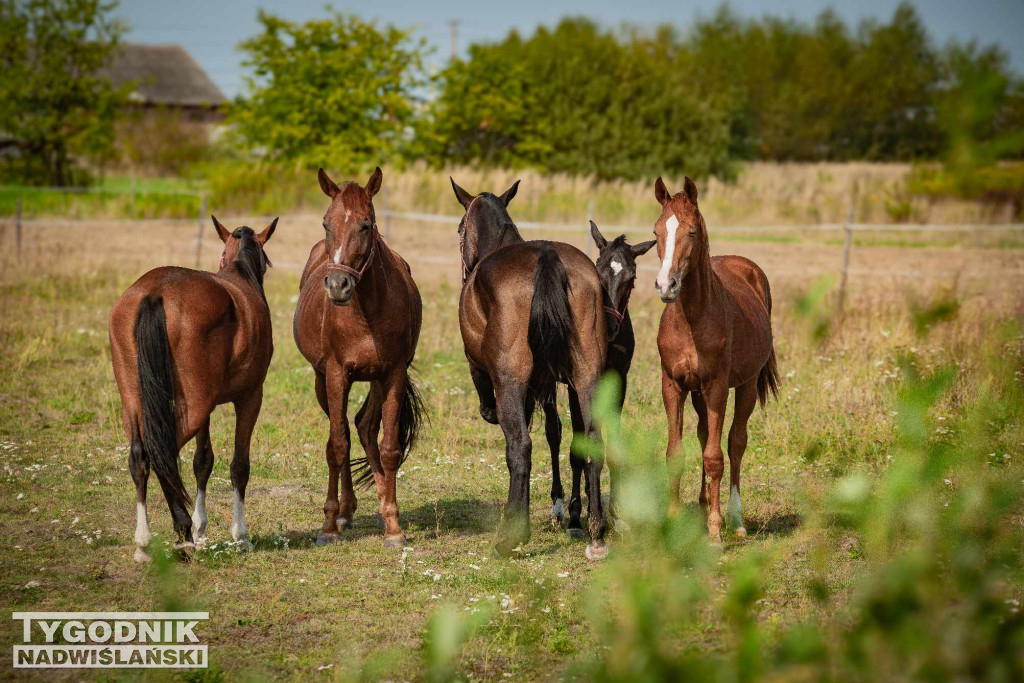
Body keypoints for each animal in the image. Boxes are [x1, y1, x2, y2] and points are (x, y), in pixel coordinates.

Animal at [109, 215, 276, 561]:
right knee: (162, 451)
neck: (238, 273)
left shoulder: (207, 407)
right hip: (197, 405)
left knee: (139, 455)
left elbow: (203, 461)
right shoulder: (250, 397)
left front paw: (201, 530)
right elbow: (239, 466)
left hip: (137, 398)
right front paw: (239, 535)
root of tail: (154, 292)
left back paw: (145, 541)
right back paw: (182, 530)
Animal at [294, 167, 425, 548]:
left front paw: (393, 526)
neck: (366, 313)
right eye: (326, 223)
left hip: (376, 380)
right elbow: (337, 445)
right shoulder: (337, 374)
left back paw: (377, 503)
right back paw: (343, 513)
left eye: (366, 225)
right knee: (341, 437)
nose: (338, 285)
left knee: (365, 427)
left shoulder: (392, 373)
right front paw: (327, 525)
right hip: (322, 381)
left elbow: (389, 447)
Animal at [450, 179, 606, 557]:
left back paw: (511, 535)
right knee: (592, 440)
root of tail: (547, 257)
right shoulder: (551, 383)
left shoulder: (488, 374)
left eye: (460, 229)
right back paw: (597, 530)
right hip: (586, 378)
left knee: (519, 446)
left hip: (510, 383)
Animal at [651, 178, 778, 544]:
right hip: (697, 393)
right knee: (705, 433)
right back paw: (705, 502)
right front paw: (673, 521)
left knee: (735, 442)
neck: (692, 318)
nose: (666, 285)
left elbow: (715, 456)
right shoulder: (673, 385)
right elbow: (676, 452)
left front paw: (715, 530)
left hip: (745, 385)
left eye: (692, 231)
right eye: (656, 232)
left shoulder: (718, 387)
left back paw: (735, 518)